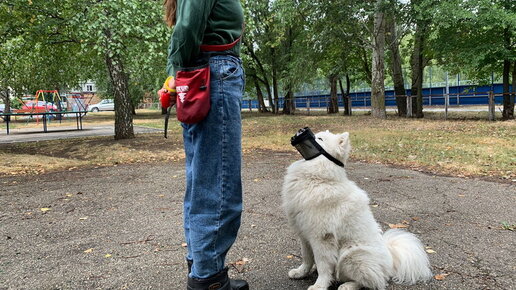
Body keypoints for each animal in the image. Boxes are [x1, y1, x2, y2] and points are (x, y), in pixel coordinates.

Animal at [282, 131, 432, 290]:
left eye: (320, 139)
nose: (296, 134)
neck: (319, 179)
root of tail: (391, 261)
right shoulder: (304, 234)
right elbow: (307, 258)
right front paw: (301, 273)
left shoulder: (322, 237)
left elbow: (323, 265)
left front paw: (319, 285)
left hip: (351, 254)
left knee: (371, 281)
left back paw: (348, 285)